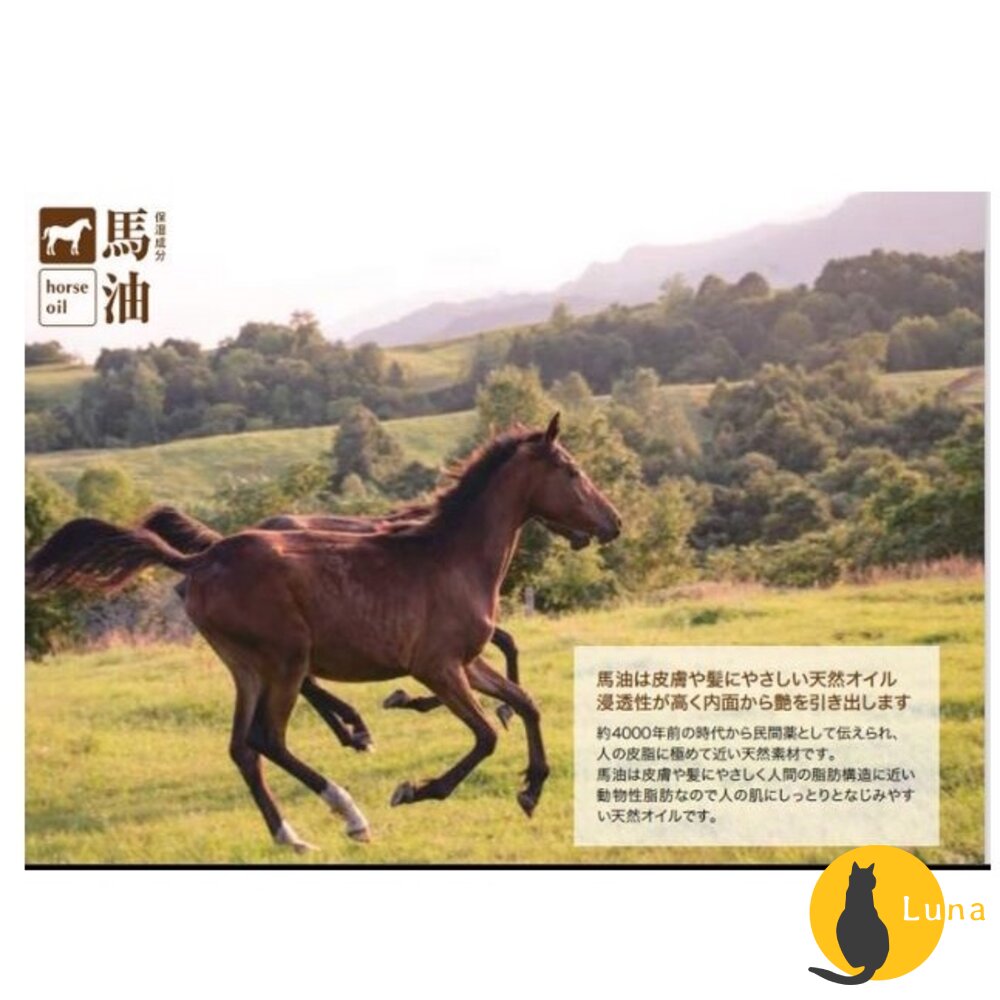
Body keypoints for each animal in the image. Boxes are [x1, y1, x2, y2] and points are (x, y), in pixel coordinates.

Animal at [138, 502, 592, 748]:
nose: (585, 533)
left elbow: (503, 646)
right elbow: (505, 645)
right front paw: (493, 708)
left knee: (303, 679)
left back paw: (351, 729)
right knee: (302, 679)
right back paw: (354, 728)